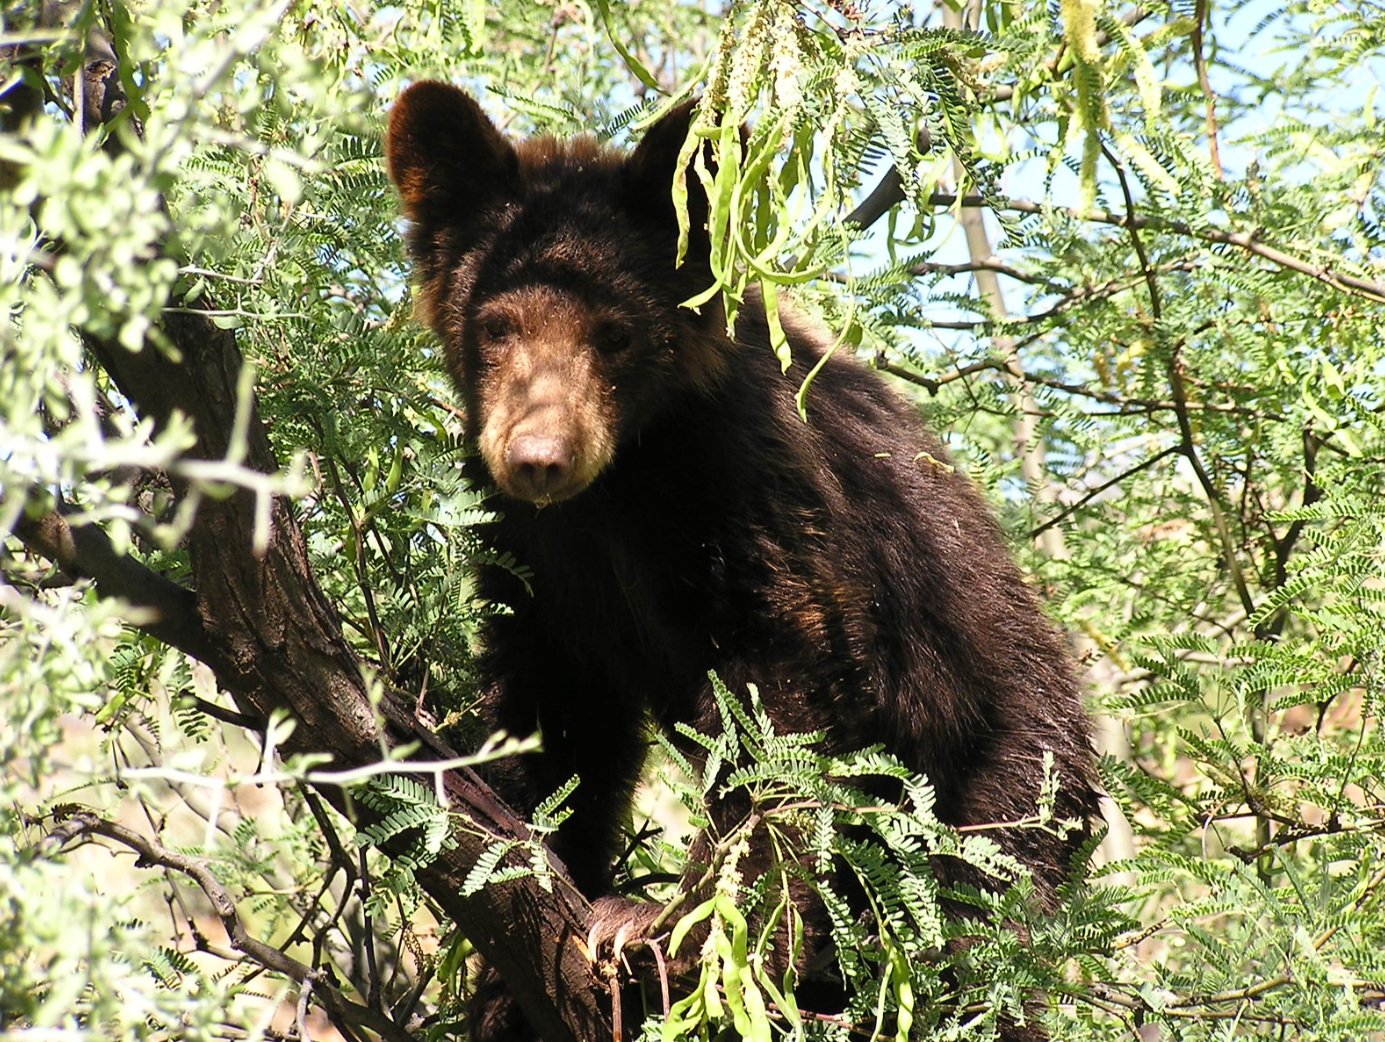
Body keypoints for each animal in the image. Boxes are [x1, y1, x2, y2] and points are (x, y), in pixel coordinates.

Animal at [385, 83, 1096, 1042]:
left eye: (613, 334)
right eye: (496, 326)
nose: (539, 458)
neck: (621, 486)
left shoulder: (751, 493)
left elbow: (784, 698)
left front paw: (675, 928)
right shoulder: (529, 553)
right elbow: (557, 724)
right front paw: (510, 974)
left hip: (1002, 773)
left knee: (977, 918)